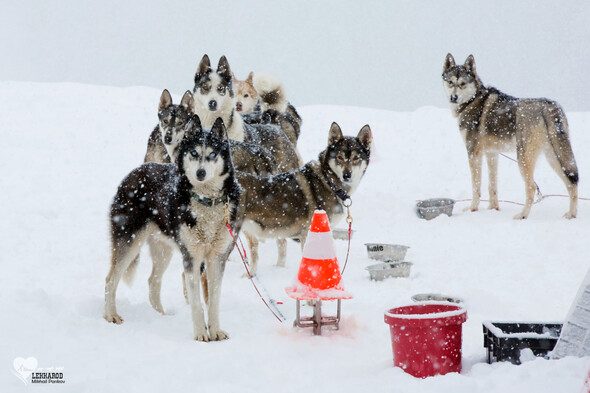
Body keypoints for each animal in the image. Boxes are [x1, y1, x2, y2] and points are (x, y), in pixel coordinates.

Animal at [105, 117, 242, 340]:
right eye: (193, 153)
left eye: (212, 154)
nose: (200, 173)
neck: (206, 201)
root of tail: (133, 173)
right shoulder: (192, 258)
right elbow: (196, 302)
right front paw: (200, 334)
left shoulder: (217, 258)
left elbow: (213, 301)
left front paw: (215, 331)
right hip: (129, 242)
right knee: (111, 279)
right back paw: (110, 315)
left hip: (163, 251)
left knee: (153, 282)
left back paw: (161, 316)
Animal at [444, 52, 580, 219]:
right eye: (450, 82)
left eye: (462, 83)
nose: (453, 97)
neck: (472, 100)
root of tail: (549, 106)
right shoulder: (492, 154)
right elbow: (492, 186)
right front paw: (493, 209)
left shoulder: (473, 153)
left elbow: (476, 186)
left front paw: (472, 209)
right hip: (554, 157)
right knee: (571, 183)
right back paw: (571, 215)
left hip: (523, 158)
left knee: (531, 187)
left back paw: (522, 215)